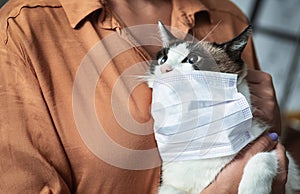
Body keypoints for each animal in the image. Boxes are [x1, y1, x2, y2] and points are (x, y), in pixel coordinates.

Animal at [146, 21, 300, 194]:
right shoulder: (169, 186)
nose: (164, 69)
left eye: (192, 59)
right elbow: (172, 190)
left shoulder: (277, 150)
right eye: (163, 59)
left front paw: (253, 189)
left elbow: (264, 156)